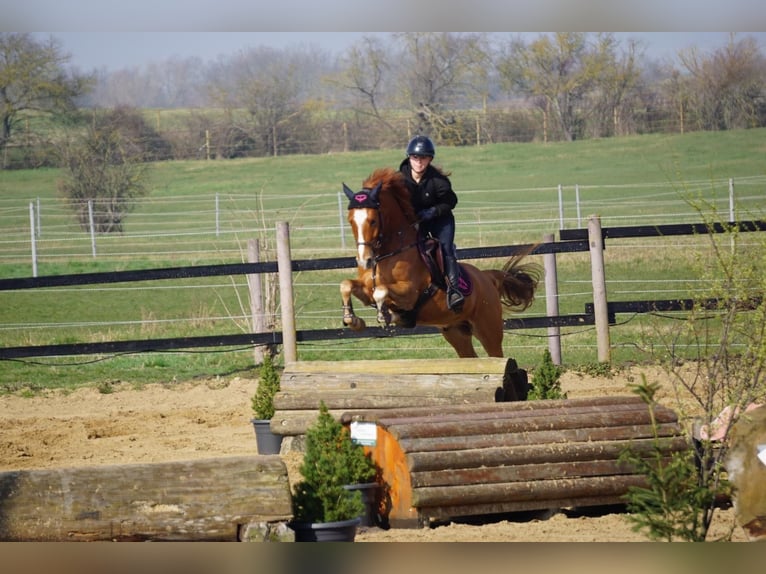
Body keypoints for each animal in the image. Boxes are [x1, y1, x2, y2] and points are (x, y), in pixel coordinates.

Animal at [340, 164, 544, 360]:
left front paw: (385, 315)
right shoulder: (366, 290)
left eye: (373, 220)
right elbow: (347, 285)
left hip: (487, 329)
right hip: (455, 331)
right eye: (350, 220)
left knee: (496, 354)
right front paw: (352, 320)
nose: (364, 260)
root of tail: (487, 277)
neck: (387, 254)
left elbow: (381, 291)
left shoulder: (409, 293)